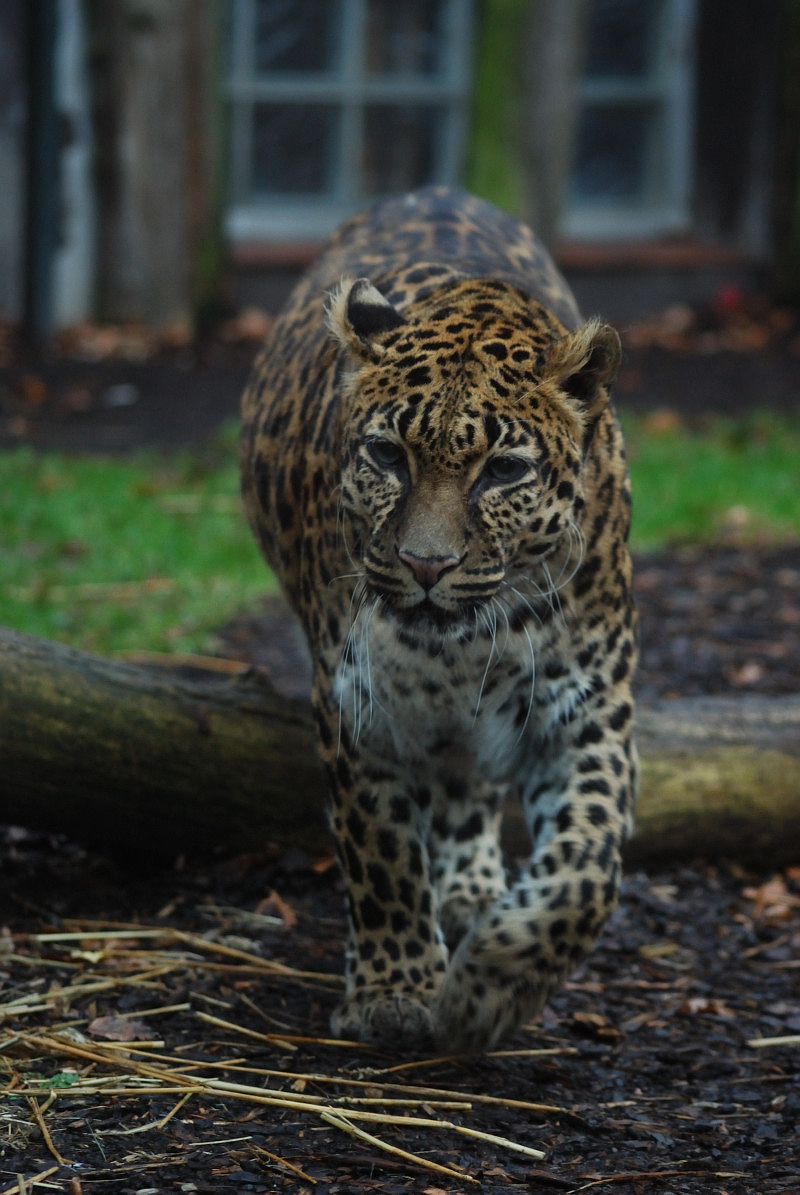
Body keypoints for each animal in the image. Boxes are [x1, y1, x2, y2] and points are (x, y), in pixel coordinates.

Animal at [240, 186, 637, 1052]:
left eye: (504, 471)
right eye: (388, 456)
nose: (426, 565)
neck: (469, 641)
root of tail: (435, 189)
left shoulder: (588, 707)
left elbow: (589, 863)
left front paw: (494, 983)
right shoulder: (359, 702)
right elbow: (381, 847)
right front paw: (394, 991)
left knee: (470, 776)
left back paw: (474, 888)